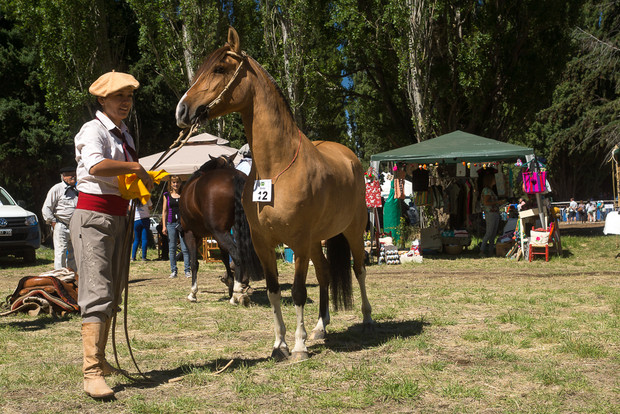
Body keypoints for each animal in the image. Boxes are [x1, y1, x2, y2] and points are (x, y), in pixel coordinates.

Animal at [182, 154, 264, 304]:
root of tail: (235, 177)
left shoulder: (190, 234)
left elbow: (194, 262)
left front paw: (193, 293)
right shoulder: (217, 235)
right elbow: (225, 258)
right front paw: (230, 284)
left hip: (218, 232)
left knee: (237, 255)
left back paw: (238, 293)